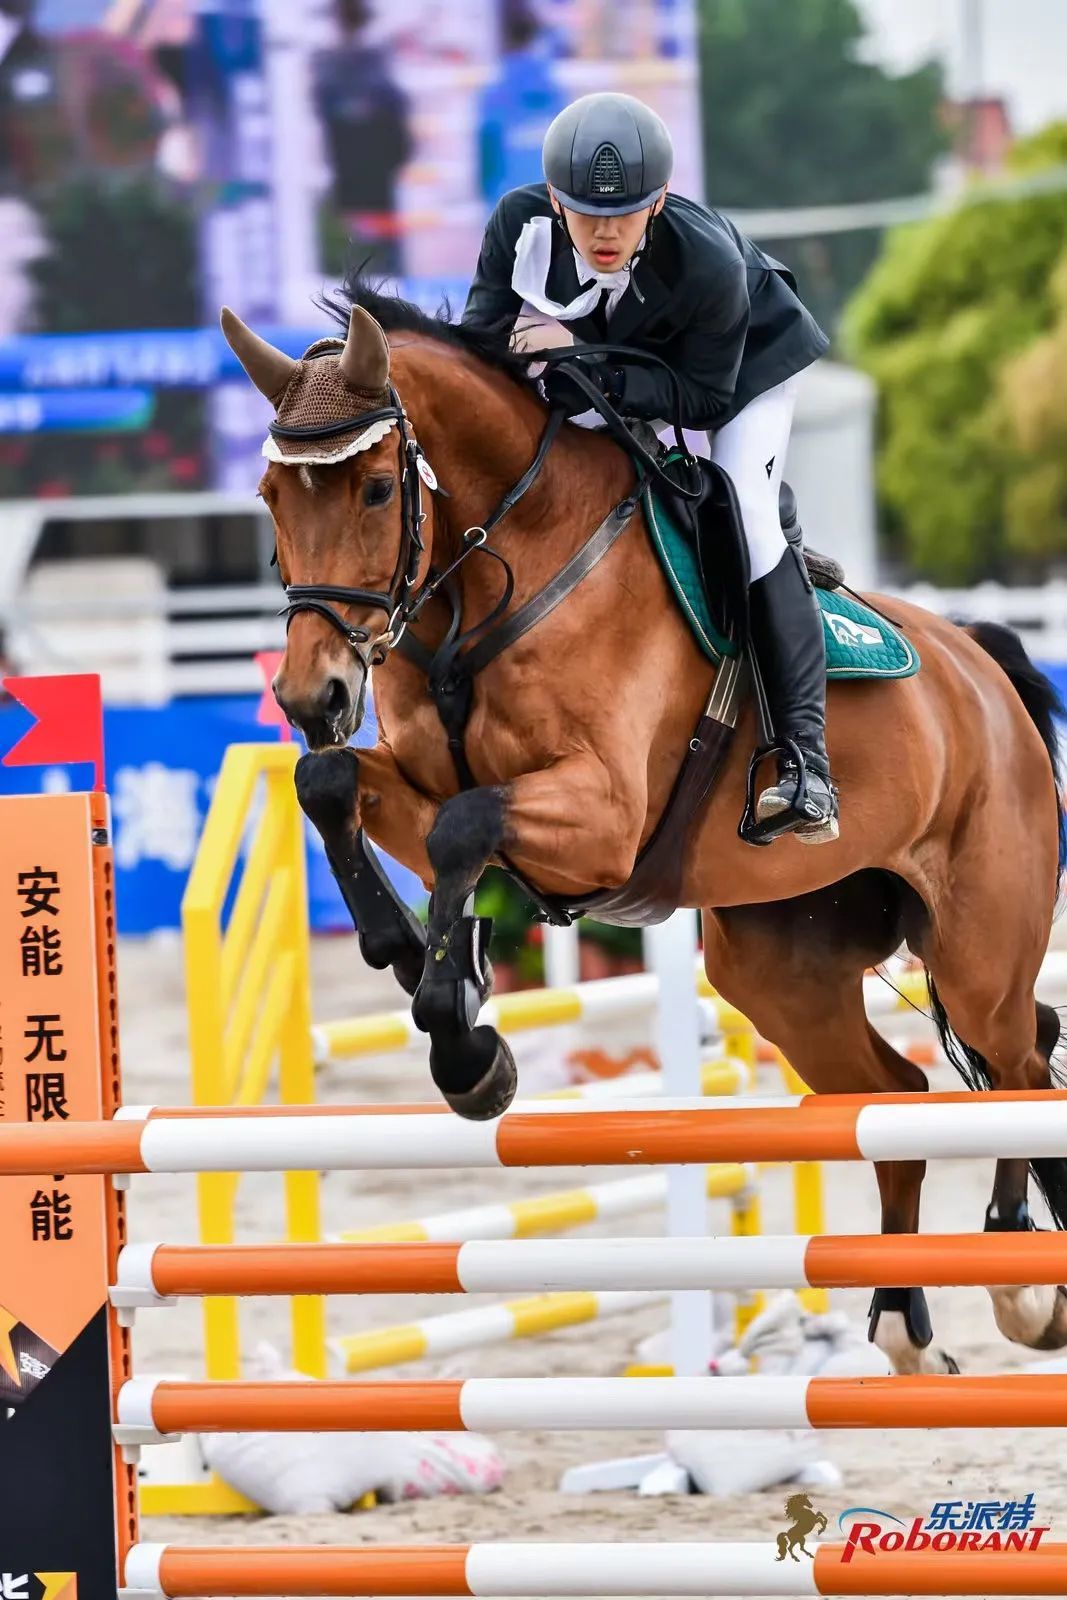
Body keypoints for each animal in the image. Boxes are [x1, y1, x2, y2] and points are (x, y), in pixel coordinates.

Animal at [221, 277, 1067, 1381]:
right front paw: (411, 956)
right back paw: (901, 1327)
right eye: (270, 500)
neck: (493, 571)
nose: (309, 693)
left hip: (975, 946)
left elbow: (462, 830)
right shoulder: (413, 781)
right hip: (779, 971)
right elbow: (329, 782)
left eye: (371, 490)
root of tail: (981, 666)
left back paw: (1019, 1284)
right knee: (901, 1091)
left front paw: (464, 1038)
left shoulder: (603, 816)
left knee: (1013, 1062)